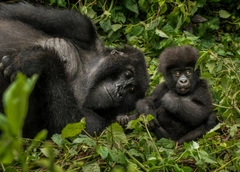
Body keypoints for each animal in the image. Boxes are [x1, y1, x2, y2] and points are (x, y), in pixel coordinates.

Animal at [0, 2, 149, 138]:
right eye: (128, 74)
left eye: (131, 90)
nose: (120, 91)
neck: (88, 75)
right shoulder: (80, 26)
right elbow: (8, 12)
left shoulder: (103, 123)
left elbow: (69, 128)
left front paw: (39, 60)